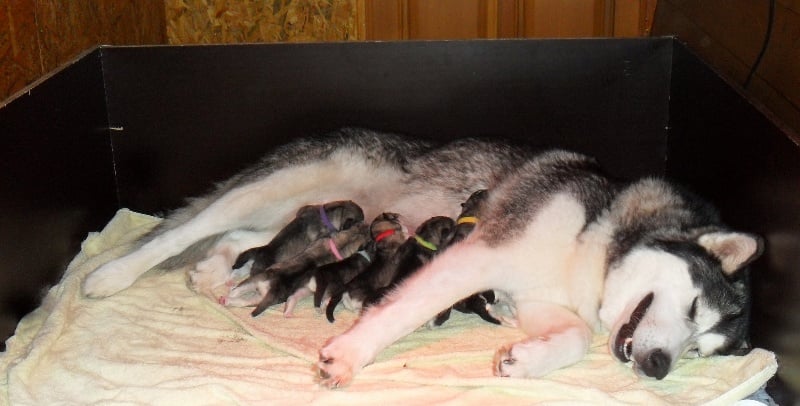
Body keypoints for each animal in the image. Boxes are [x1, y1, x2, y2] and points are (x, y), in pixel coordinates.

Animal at [81, 128, 764, 388]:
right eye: (694, 306)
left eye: (700, 350)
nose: (658, 367)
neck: (595, 242)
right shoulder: (476, 255)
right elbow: (402, 310)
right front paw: (349, 354)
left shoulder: (541, 301)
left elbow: (569, 337)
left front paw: (522, 360)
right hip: (287, 180)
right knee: (182, 231)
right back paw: (109, 275)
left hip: (300, 220)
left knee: (242, 243)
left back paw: (219, 275)